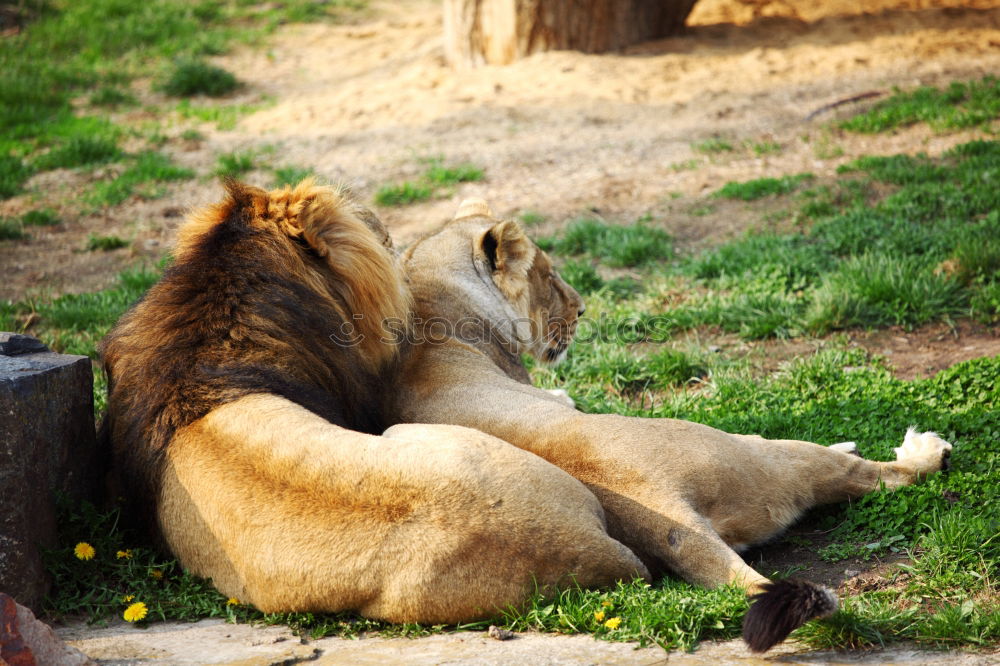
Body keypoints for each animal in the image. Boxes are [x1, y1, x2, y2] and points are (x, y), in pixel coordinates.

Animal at [390, 197, 952, 648]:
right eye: (548, 276)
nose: (583, 309)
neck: (440, 310)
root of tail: (666, 511)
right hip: (758, 458)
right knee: (865, 475)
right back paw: (923, 452)